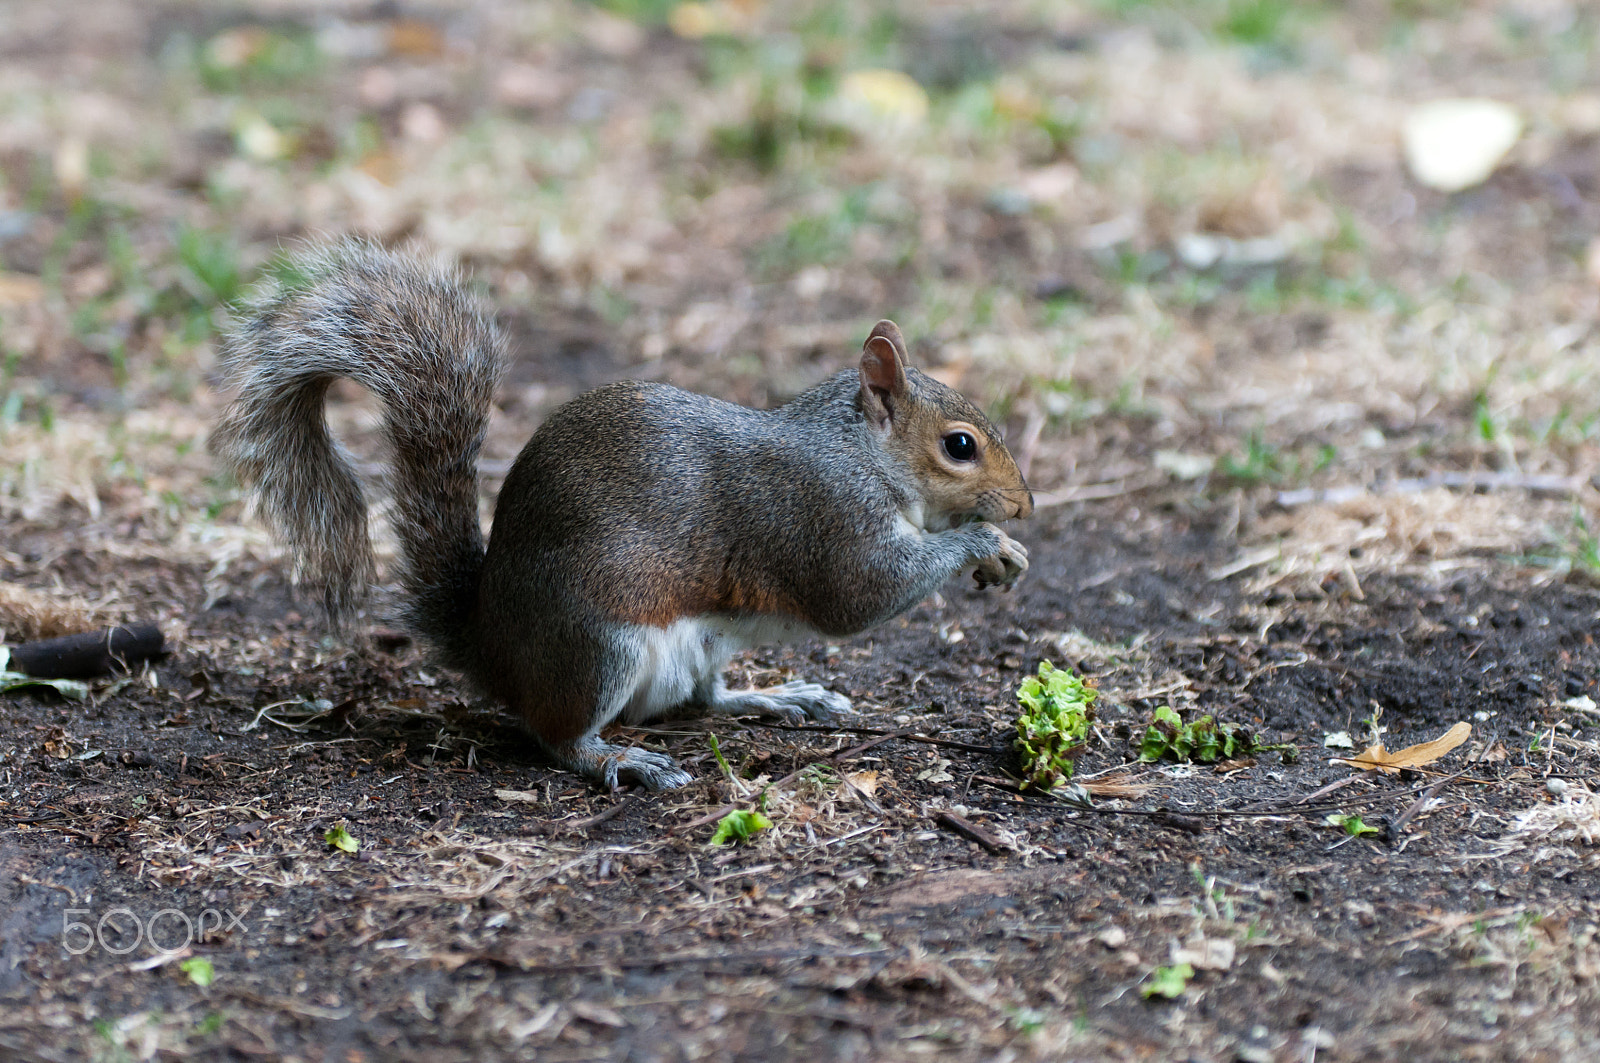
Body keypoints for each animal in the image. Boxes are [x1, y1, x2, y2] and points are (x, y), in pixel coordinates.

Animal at [212, 239, 1033, 790]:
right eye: (959, 445)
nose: (1025, 503)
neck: (859, 451)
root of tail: (492, 645)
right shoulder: (822, 514)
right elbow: (859, 595)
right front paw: (982, 541)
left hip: (703, 642)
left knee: (704, 698)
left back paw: (776, 695)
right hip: (597, 643)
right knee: (556, 734)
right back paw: (619, 759)